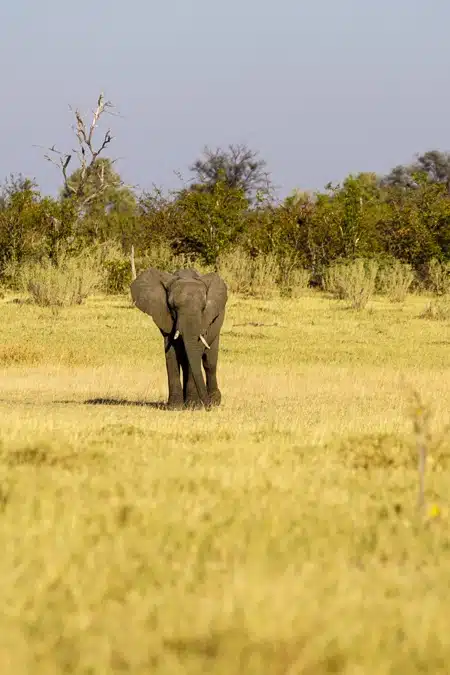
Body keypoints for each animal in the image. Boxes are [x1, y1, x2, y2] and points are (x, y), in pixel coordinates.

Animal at [130, 267, 228, 410]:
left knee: (209, 362)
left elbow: (195, 353)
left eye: (203, 307)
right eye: (172, 307)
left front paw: (193, 406)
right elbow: (171, 353)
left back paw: (213, 401)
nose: (206, 406)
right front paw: (175, 407)